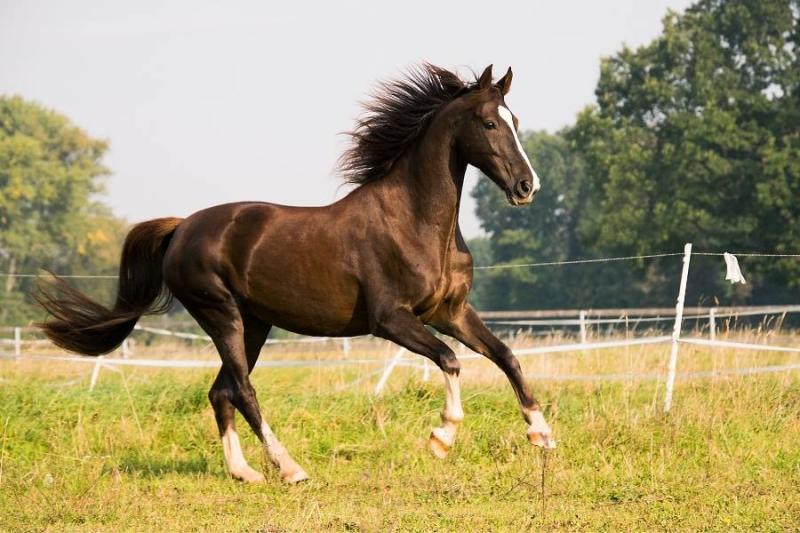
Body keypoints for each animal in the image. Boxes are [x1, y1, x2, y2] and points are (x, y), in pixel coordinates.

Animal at [34, 64, 552, 484]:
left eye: (516, 122)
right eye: (489, 123)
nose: (527, 187)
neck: (414, 222)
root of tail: (182, 228)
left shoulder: (451, 312)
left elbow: (506, 356)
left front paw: (542, 433)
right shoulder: (391, 320)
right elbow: (450, 360)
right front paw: (442, 437)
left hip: (254, 324)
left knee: (220, 391)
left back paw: (244, 472)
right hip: (221, 315)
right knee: (242, 390)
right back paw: (290, 468)